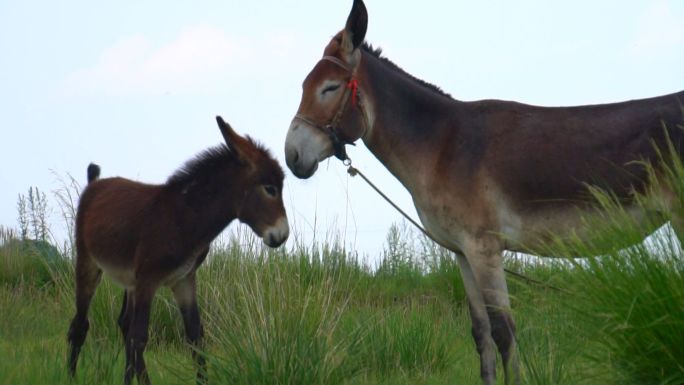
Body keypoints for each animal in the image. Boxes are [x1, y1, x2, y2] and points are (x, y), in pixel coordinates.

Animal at [69, 115, 292, 382]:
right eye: (270, 189)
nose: (282, 235)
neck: (184, 217)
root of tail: (95, 184)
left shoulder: (183, 279)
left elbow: (195, 338)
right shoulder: (148, 280)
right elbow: (140, 338)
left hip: (129, 280)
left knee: (123, 323)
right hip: (88, 262)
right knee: (81, 326)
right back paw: (70, 376)